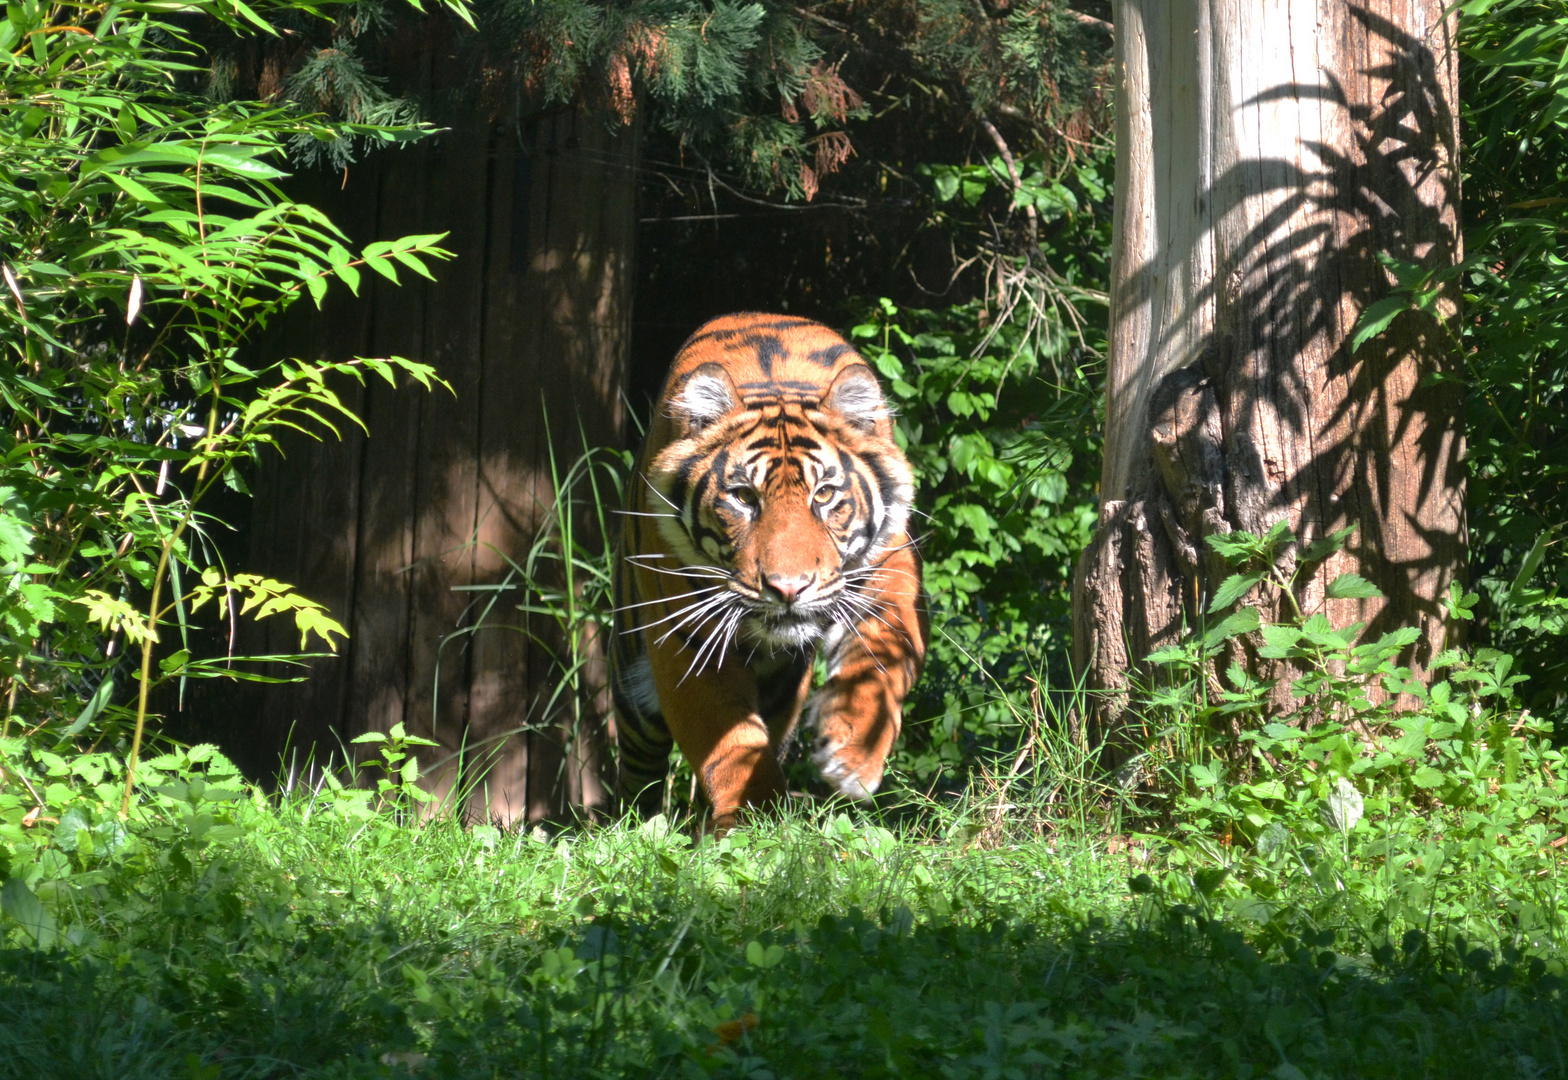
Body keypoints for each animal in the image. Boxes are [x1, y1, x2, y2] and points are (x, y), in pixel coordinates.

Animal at [611, 307, 928, 827]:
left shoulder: (888, 572)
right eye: (743, 497)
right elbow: (729, 740)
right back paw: (638, 825)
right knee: (639, 769)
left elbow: (886, 659)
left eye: (824, 495)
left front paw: (853, 755)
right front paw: (756, 819)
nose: (788, 588)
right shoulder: (688, 639)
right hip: (632, 682)